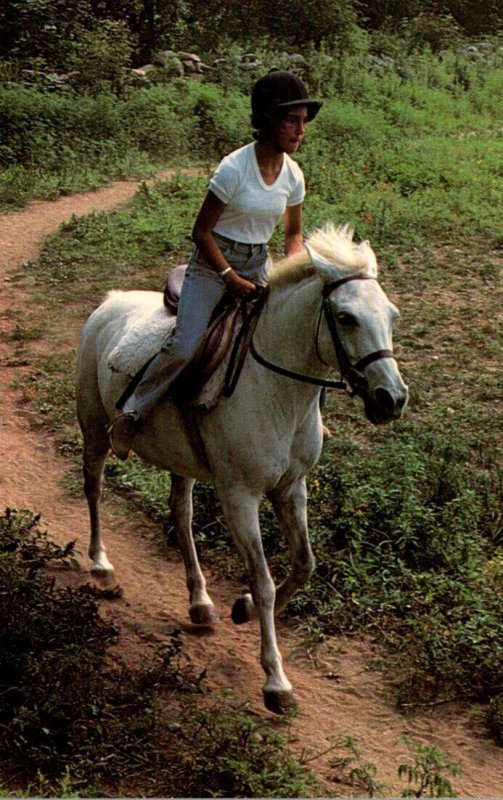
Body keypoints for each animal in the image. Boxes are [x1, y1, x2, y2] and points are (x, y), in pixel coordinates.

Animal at [76, 223, 410, 712]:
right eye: (346, 317)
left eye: (391, 315)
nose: (392, 399)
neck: (276, 391)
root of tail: (108, 304)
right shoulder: (240, 496)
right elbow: (266, 580)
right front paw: (276, 681)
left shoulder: (292, 487)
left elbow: (304, 565)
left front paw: (243, 606)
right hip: (95, 431)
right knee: (94, 487)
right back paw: (101, 565)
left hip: (181, 461)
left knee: (181, 514)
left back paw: (200, 602)